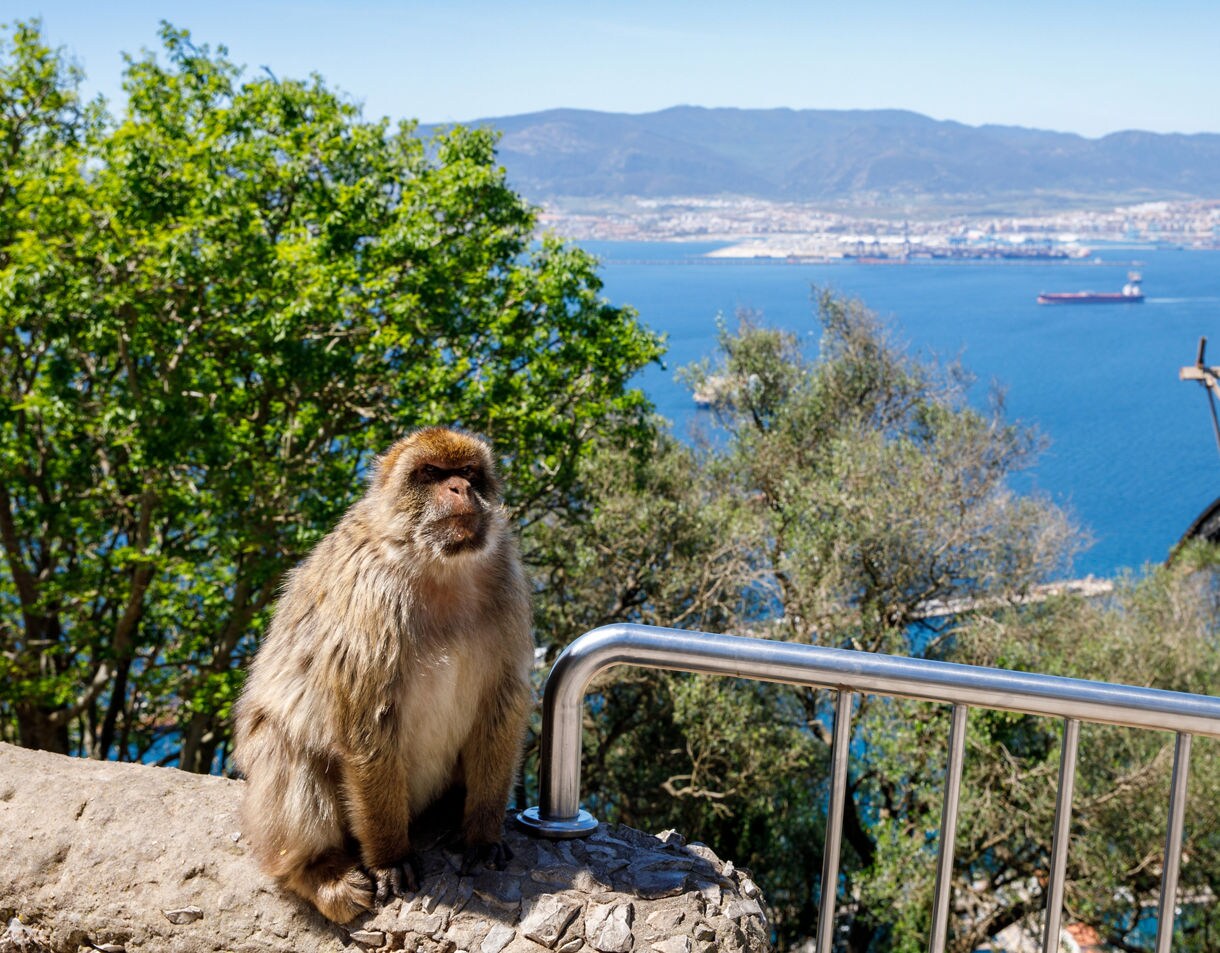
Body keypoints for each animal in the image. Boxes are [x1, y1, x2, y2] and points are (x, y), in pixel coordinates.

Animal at [232, 427, 534, 923]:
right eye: (430, 474)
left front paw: (482, 831)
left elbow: (502, 705)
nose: (460, 489)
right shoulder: (371, 595)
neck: (439, 565)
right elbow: (367, 725)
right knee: (284, 743)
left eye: (469, 473)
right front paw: (390, 857)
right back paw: (318, 873)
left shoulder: (507, 581)